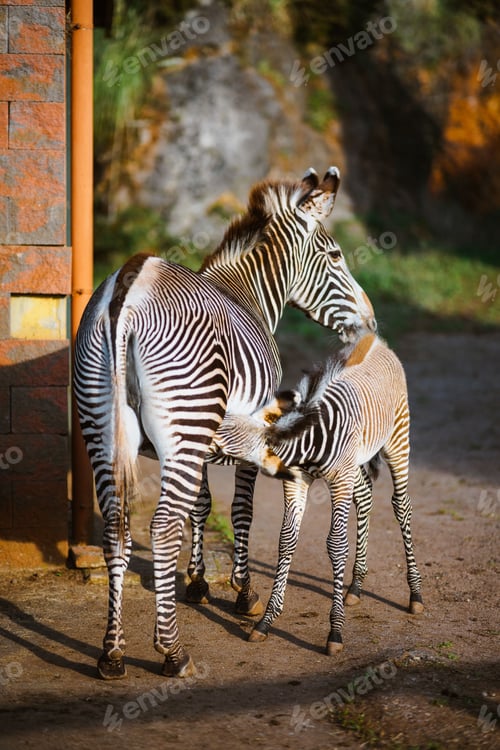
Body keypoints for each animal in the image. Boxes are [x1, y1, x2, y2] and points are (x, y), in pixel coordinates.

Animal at [73, 166, 376, 680]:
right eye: (335, 255)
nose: (371, 322)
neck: (247, 294)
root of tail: (127, 289)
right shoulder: (252, 434)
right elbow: (239, 511)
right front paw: (243, 592)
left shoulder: (202, 439)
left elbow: (200, 504)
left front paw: (196, 582)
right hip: (178, 422)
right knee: (161, 528)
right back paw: (172, 652)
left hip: (104, 429)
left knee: (117, 527)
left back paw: (111, 652)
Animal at [212, 332, 424, 655]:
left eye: (219, 439)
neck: (309, 440)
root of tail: (374, 339)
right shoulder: (297, 481)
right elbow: (286, 540)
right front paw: (266, 622)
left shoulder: (339, 480)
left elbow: (336, 545)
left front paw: (335, 632)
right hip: (356, 462)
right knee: (365, 497)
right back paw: (356, 585)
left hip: (398, 437)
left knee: (402, 505)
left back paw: (415, 594)